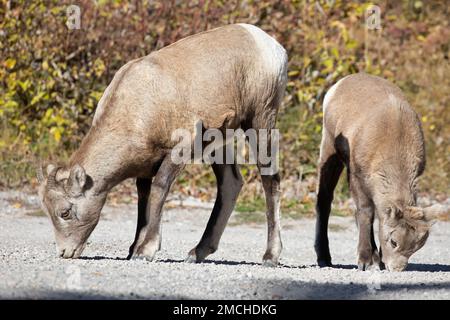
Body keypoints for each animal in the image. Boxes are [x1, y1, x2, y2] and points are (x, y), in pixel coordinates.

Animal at [37, 23, 286, 264]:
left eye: (65, 212)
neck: (137, 108)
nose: (64, 252)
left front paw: (146, 250)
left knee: (270, 180)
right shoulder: (145, 168)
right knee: (231, 184)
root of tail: (273, 47)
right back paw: (197, 252)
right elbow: (143, 201)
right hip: (219, 144)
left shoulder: (179, 150)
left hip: (260, 120)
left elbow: (159, 189)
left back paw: (270, 256)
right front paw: (133, 250)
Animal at [314, 73, 444, 272]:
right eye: (393, 241)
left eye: (416, 247)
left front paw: (377, 261)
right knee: (324, 201)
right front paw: (366, 261)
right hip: (330, 150)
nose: (396, 268)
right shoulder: (358, 176)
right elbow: (366, 212)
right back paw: (324, 258)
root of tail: (338, 86)